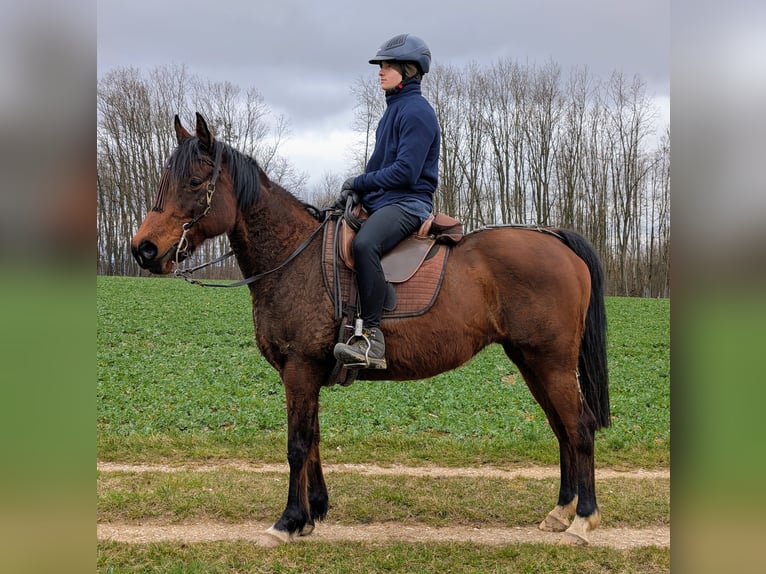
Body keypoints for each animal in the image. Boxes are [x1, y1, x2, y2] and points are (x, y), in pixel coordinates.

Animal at [131, 112, 610, 546]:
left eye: (195, 182)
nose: (143, 249)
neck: (294, 257)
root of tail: (554, 237)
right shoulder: (306, 374)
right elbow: (314, 439)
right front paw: (313, 512)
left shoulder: (299, 369)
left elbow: (297, 445)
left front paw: (287, 521)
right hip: (531, 361)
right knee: (561, 428)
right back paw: (561, 511)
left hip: (551, 362)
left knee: (579, 427)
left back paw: (584, 519)